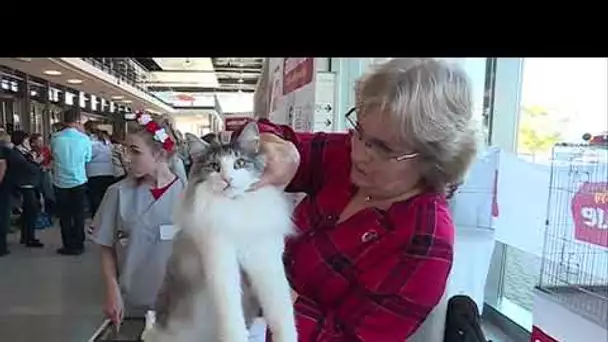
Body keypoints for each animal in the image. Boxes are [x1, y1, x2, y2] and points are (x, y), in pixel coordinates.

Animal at [148, 123, 300, 342]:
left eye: (240, 163)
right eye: (214, 166)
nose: (227, 179)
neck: (235, 208)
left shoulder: (266, 260)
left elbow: (281, 310)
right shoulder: (220, 263)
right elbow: (231, 316)